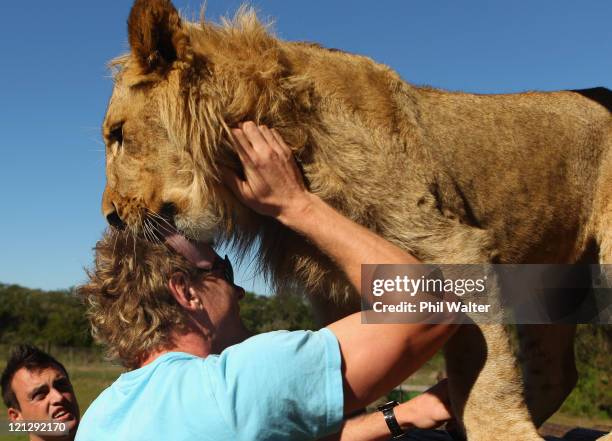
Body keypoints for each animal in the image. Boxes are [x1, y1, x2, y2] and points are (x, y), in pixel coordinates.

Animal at [100, 1, 612, 438]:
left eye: (118, 134)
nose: (111, 217)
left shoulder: (449, 243)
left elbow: (481, 365)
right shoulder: (332, 285)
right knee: (557, 372)